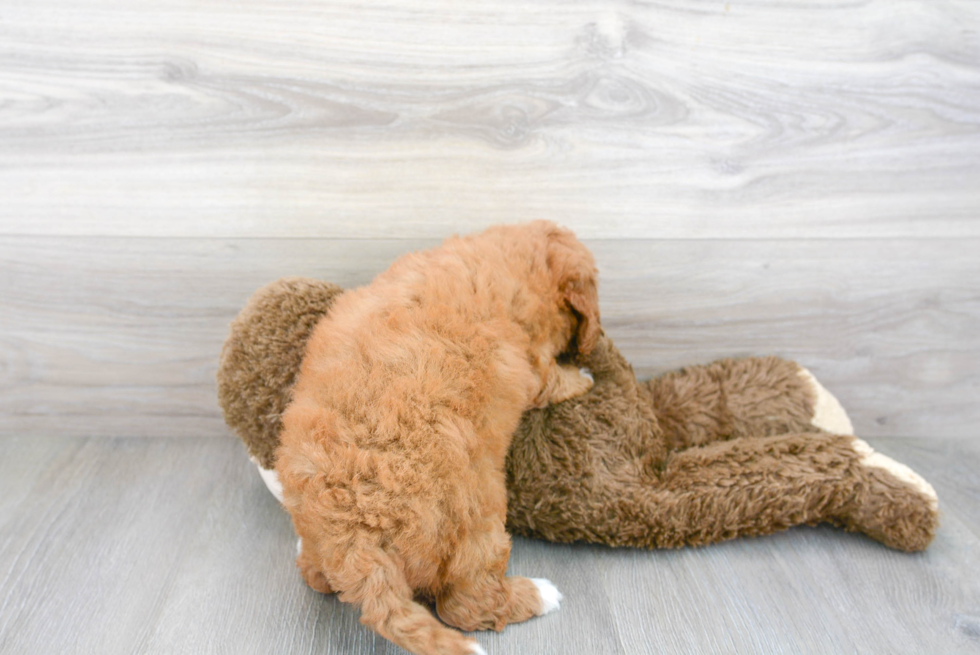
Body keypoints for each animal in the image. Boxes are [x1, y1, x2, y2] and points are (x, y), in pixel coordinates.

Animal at [274, 222, 596, 655]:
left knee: (316, 577)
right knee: (466, 606)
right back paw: (538, 595)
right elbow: (554, 379)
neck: (511, 259)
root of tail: (355, 536)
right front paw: (584, 377)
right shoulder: (534, 363)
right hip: (478, 517)